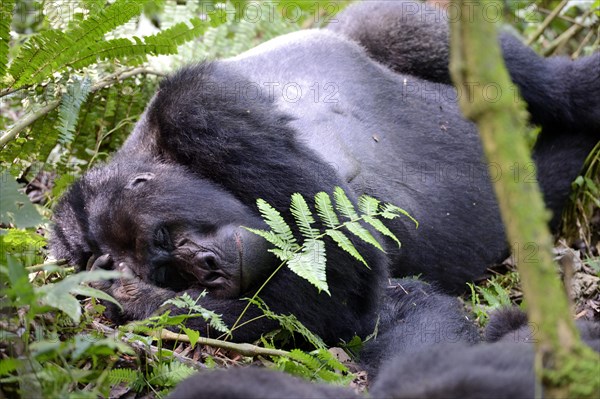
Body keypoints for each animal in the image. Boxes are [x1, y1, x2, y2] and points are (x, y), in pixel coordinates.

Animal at [51, 0, 600, 344]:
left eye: (165, 237)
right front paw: (134, 297)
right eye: (166, 271)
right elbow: (336, 308)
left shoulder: (200, 110)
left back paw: (576, 88)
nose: (208, 267)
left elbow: (347, 280)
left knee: (418, 37)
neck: (155, 153)